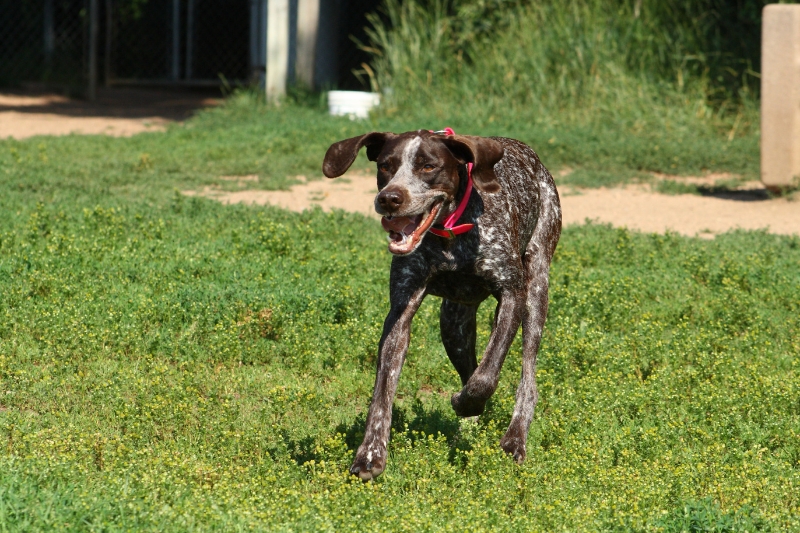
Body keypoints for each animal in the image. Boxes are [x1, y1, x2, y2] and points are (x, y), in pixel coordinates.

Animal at [322, 128, 560, 478]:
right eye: (385, 166)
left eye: (428, 166)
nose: (389, 198)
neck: (451, 235)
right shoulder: (400, 312)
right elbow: (382, 392)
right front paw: (370, 454)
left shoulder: (512, 296)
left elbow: (487, 376)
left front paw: (466, 402)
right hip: (453, 326)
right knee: (470, 368)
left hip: (535, 291)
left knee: (526, 378)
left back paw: (514, 438)